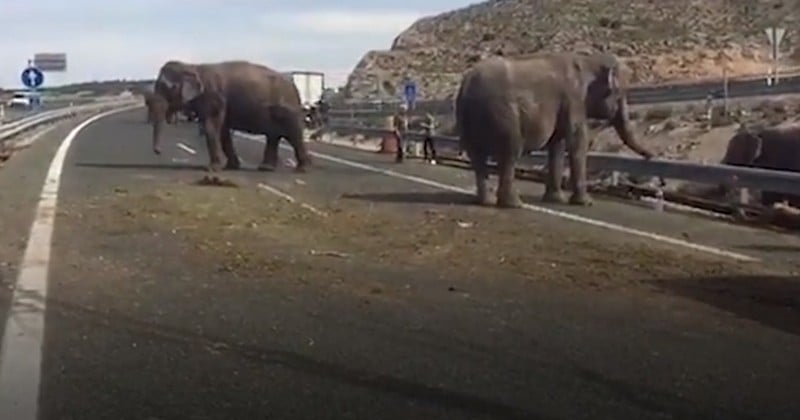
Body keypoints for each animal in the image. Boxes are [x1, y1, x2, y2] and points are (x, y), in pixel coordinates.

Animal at [152, 59, 310, 172]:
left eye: (168, 88)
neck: (193, 67)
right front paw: (230, 166)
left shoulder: (215, 97)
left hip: (288, 110)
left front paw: (212, 169)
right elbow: (223, 132)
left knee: (293, 135)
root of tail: (294, 87)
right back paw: (266, 168)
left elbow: (211, 127)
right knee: (274, 136)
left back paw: (301, 169)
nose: (158, 152)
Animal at [454, 51, 652, 208]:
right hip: (503, 115)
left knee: (478, 157)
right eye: (620, 95)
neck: (589, 59)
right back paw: (514, 204)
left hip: (469, 118)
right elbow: (576, 141)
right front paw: (586, 203)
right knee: (510, 152)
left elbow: (557, 145)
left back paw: (486, 201)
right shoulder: (574, 99)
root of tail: (466, 84)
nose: (651, 156)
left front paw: (556, 200)